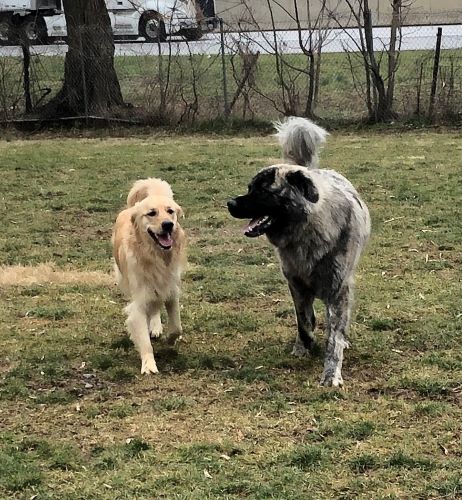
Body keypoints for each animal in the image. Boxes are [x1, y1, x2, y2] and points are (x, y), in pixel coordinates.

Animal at [112, 178, 186, 374]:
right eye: (151, 213)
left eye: (170, 211)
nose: (168, 224)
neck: (156, 257)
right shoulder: (139, 301)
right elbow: (145, 341)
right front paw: (149, 365)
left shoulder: (170, 291)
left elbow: (177, 327)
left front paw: (169, 339)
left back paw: (156, 326)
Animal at [227, 117, 372, 386]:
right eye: (249, 187)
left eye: (263, 191)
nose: (229, 203)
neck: (308, 230)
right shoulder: (295, 284)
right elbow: (303, 321)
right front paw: (304, 347)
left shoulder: (338, 289)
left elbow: (334, 336)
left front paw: (331, 373)